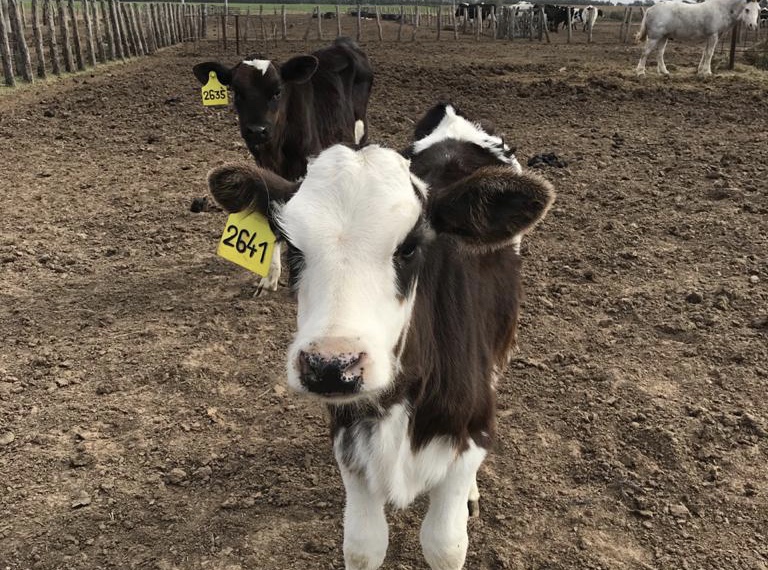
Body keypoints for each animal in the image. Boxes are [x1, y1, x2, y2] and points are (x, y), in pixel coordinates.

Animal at [192, 37, 372, 290]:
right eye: (237, 92)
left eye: (277, 92)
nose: (257, 130)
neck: (277, 150)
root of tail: (344, 43)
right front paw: (270, 276)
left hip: (359, 131)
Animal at [204, 103, 552, 568]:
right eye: (293, 248)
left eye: (409, 247)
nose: (331, 366)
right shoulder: (349, 440)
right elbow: (363, 544)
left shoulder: (470, 425)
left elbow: (445, 543)